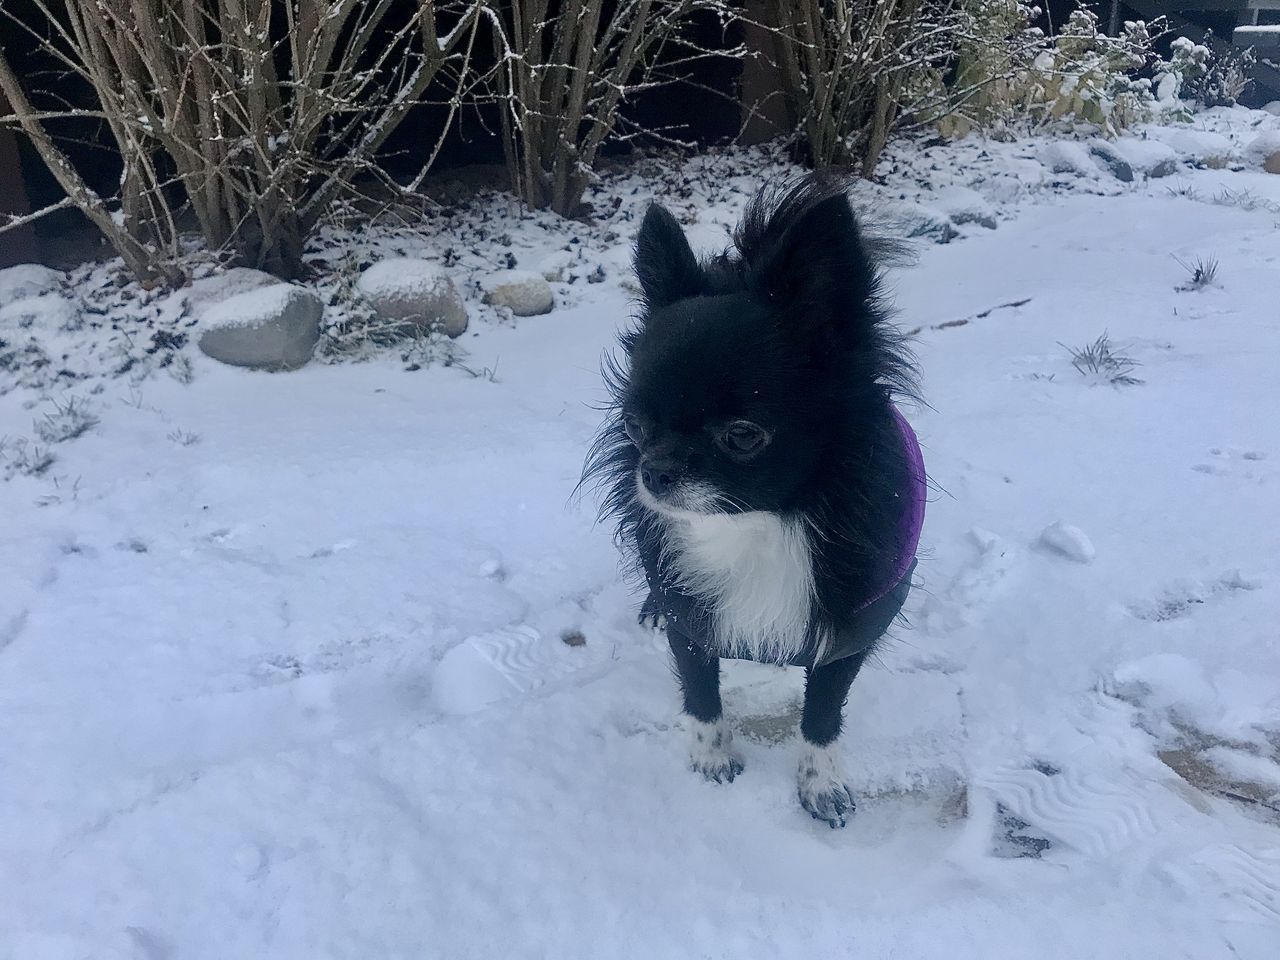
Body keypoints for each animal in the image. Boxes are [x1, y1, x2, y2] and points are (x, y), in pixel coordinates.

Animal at [586, 176, 926, 829]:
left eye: (742, 436)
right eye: (635, 426)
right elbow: (700, 692)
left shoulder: (847, 634)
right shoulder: (692, 618)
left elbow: (823, 714)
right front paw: (713, 759)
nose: (655, 471)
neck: (755, 523)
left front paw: (821, 784)